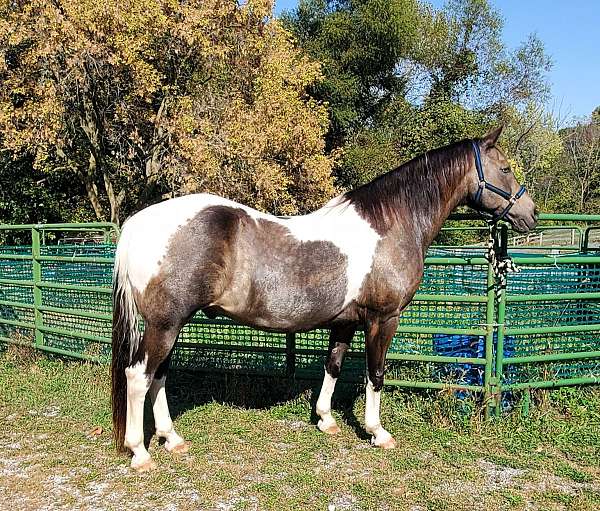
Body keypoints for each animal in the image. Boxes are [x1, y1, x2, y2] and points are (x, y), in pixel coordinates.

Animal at [110, 127, 536, 472]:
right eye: (505, 168)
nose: (530, 214)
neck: (391, 224)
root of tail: (138, 223)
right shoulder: (384, 318)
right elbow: (375, 374)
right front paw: (377, 432)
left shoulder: (345, 322)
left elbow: (332, 367)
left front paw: (326, 419)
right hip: (165, 324)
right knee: (139, 376)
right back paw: (140, 452)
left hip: (171, 325)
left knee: (159, 375)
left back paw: (172, 439)